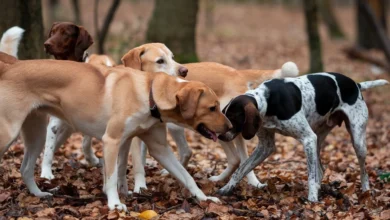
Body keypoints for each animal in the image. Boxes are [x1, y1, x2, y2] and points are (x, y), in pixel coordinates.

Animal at [119, 43, 298, 192]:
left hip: (221, 126)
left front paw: (139, 188)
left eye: (172, 57)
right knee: (200, 153)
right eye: (160, 61)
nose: (184, 72)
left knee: (236, 158)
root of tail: (238, 73)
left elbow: (138, 163)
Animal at [218, 72, 388, 201]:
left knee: (363, 170)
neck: (268, 101)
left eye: (233, 117)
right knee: (321, 169)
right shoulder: (266, 146)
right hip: (317, 140)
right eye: (224, 114)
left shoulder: (307, 138)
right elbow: (241, 169)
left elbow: (310, 177)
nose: (219, 136)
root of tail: (356, 85)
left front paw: (312, 200)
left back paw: (366, 191)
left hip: (356, 141)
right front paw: (227, 188)